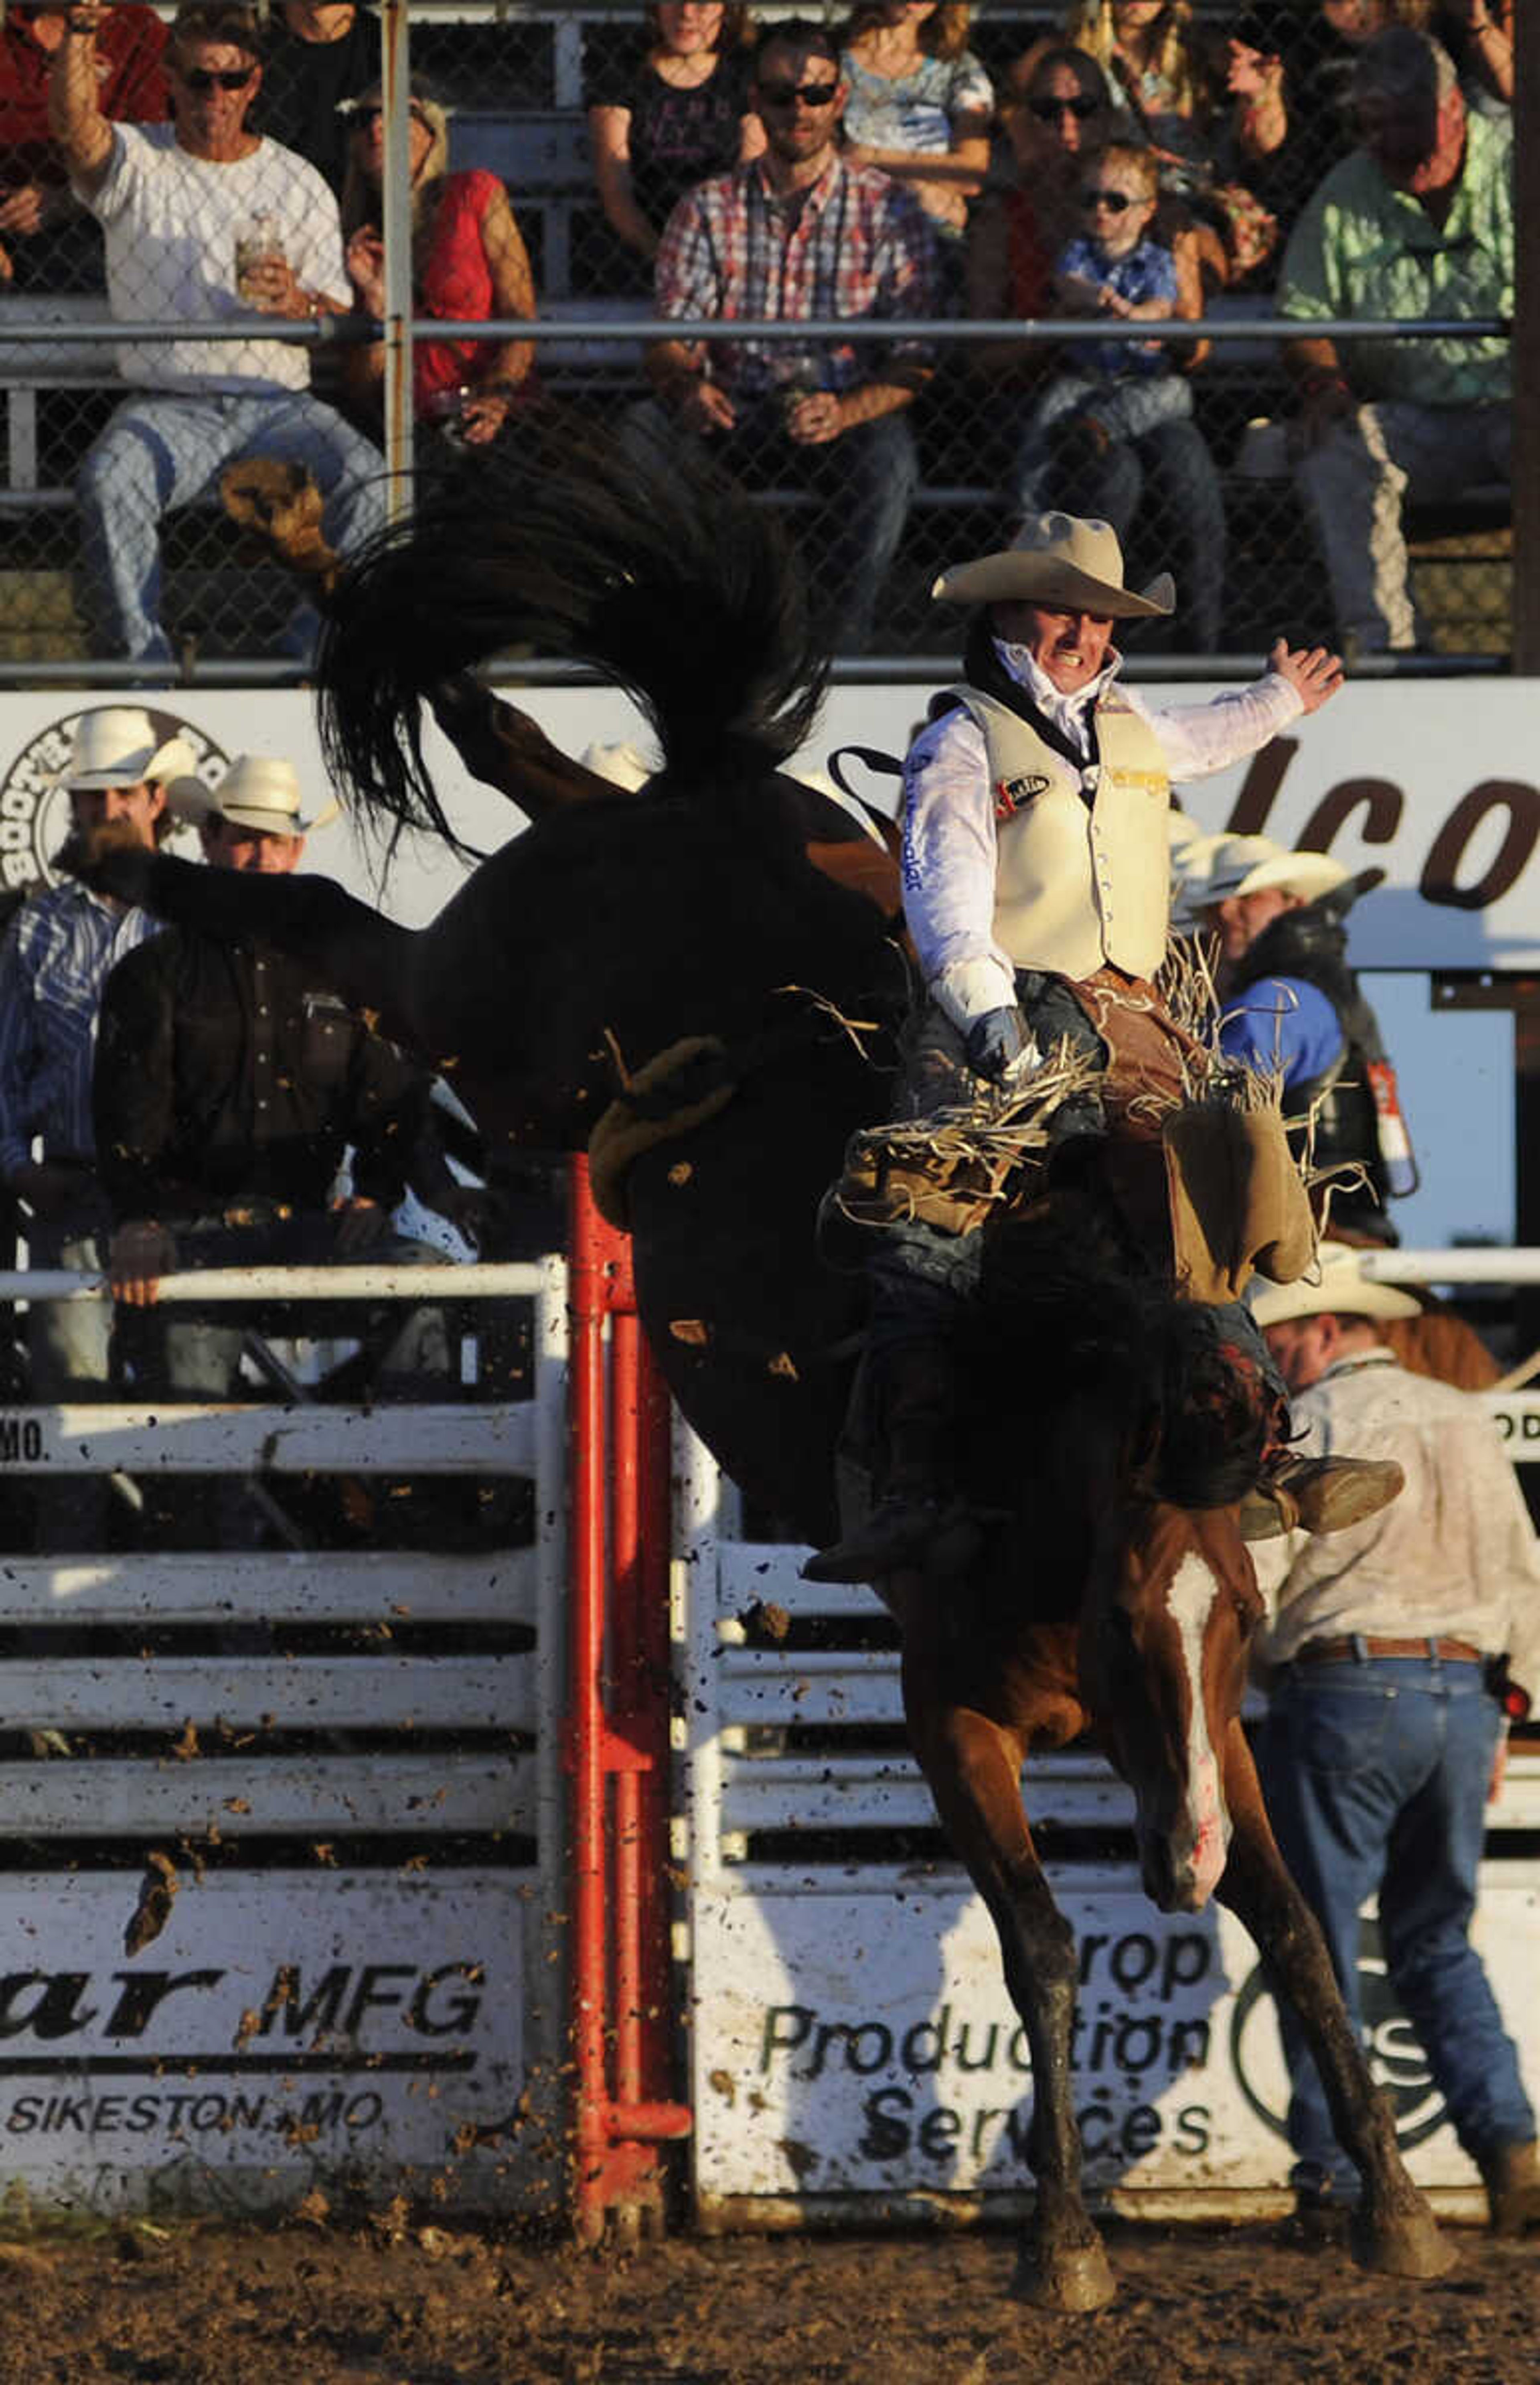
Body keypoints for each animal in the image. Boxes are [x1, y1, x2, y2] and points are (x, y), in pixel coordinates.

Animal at [81, 434, 1459, 2308]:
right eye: (1122, 1609)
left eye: (1244, 1615)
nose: (1166, 1863)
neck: (1049, 1439)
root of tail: (706, 796)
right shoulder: (948, 1708)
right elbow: (1039, 1943)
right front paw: (1062, 2243)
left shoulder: (1205, 1734)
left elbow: (1301, 1926)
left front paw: (1393, 2205)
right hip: (483, 1018)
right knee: (332, 899)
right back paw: (115, 849)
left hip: (524, 1009)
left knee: (508, 752)